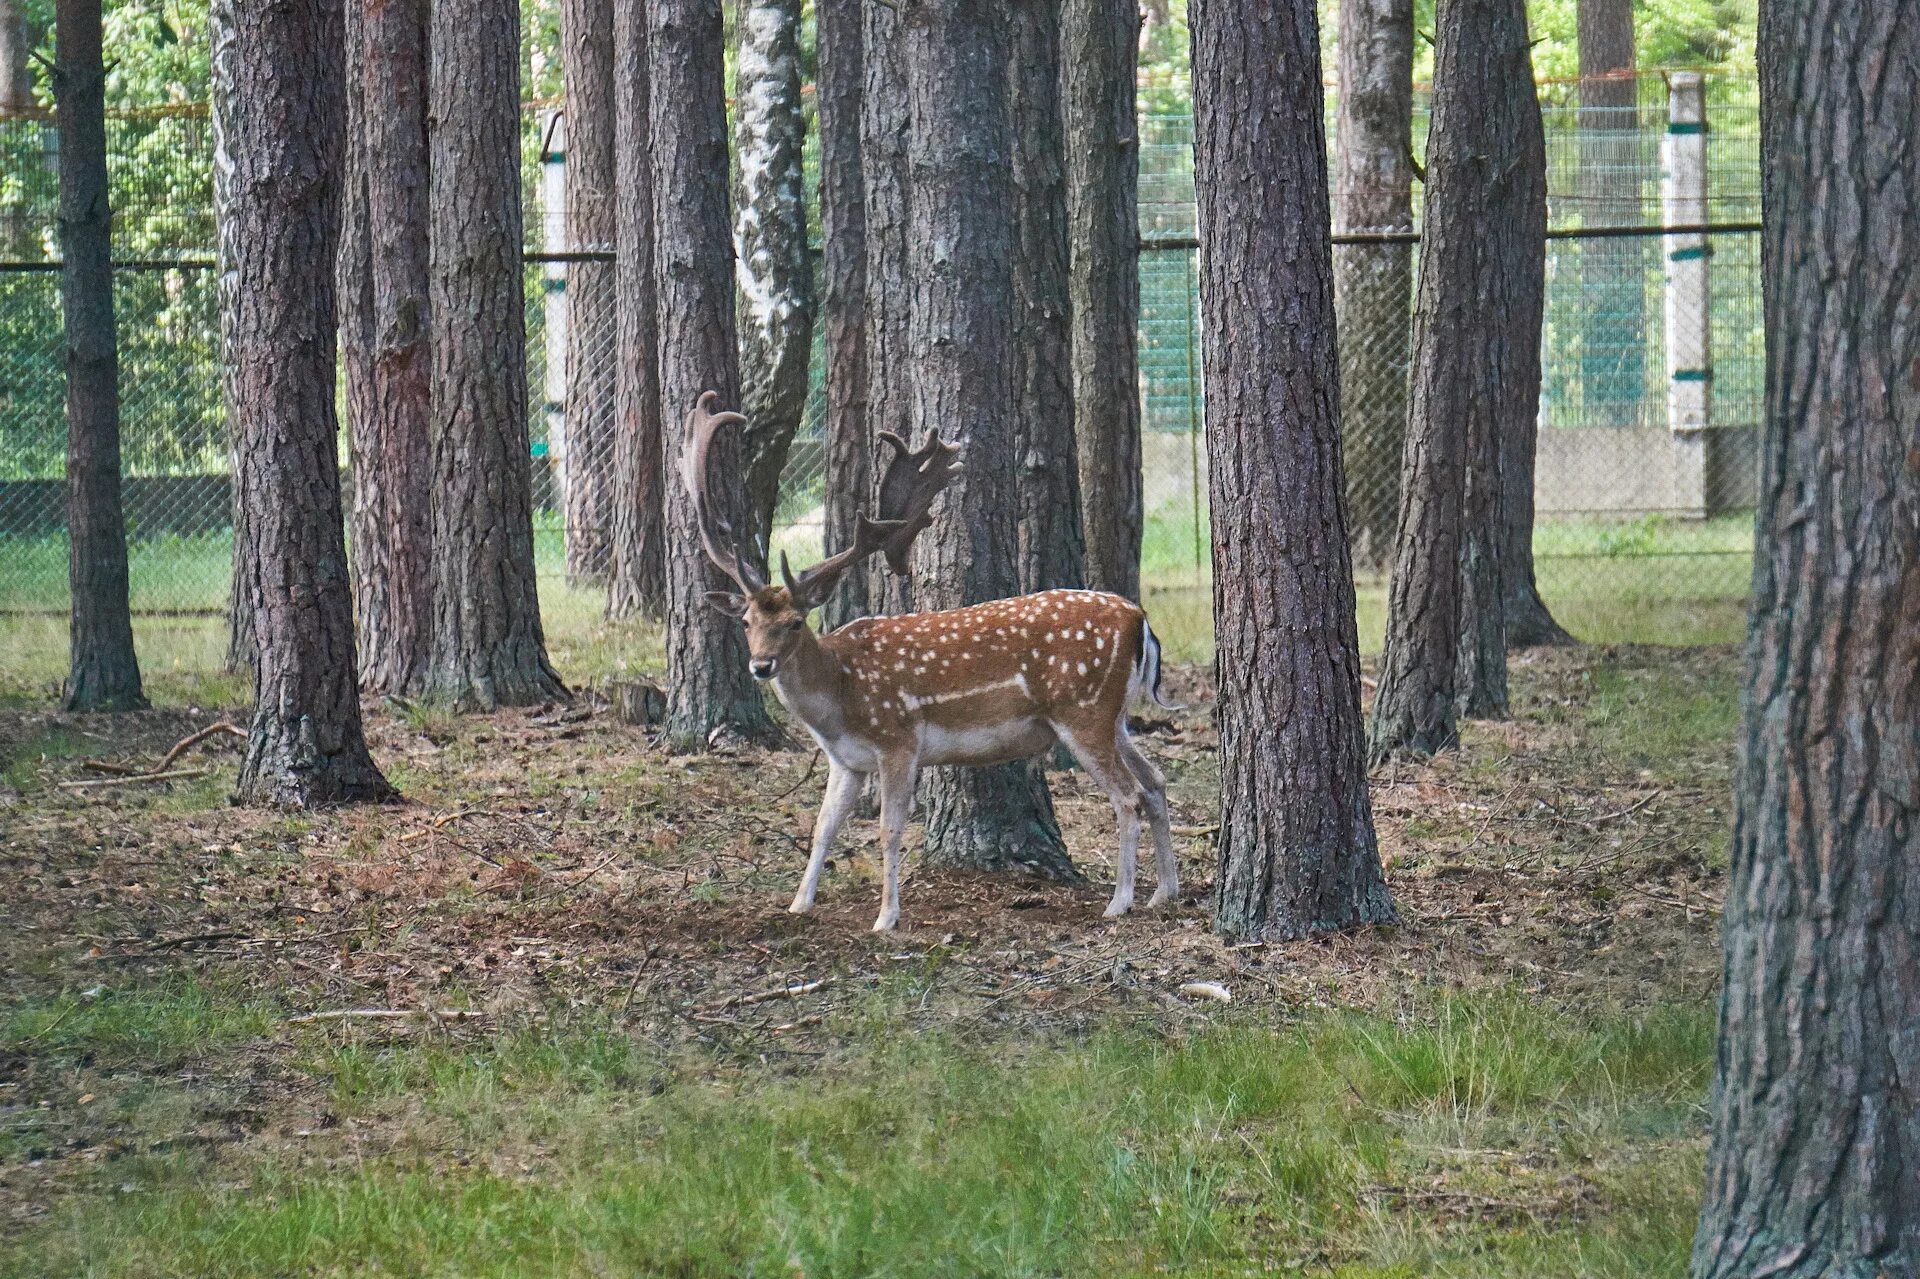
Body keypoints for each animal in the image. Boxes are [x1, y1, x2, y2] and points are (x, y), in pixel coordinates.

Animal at [683, 387, 1175, 925]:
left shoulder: (898, 737)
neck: (839, 697)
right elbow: (823, 826)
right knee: (1155, 782)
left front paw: (885, 918)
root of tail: (1139, 620)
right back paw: (1164, 891)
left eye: (795, 622)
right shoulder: (846, 761)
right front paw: (798, 904)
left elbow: (889, 829)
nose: (761, 666)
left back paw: (1120, 901)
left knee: (1128, 796)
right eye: (746, 622)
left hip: (1082, 709)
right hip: (1114, 715)